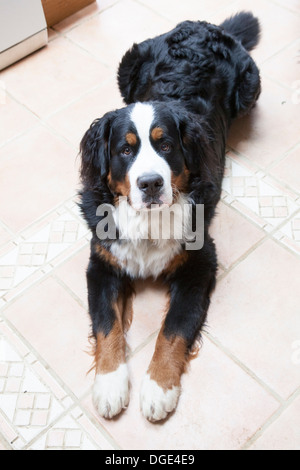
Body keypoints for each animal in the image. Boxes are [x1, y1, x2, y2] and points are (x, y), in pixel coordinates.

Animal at [79, 11, 260, 422]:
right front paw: (110, 383)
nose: (150, 183)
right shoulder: (102, 263)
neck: (147, 222)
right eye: (125, 150)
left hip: (251, 85)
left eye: (165, 145)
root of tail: (205, 25)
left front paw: (159, 388)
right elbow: (107, 323)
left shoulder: (200, 263)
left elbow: (173, 329)